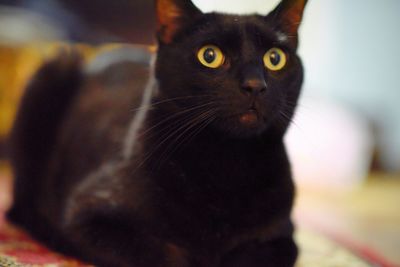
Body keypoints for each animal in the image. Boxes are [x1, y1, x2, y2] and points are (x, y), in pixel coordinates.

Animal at [6, 0, 308, 267]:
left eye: (275, 58)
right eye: (209, 56)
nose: (255, 85)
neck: (227, 163)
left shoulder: (283, 239)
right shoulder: (88, 215)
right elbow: (163, 255)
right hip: (50, 75)